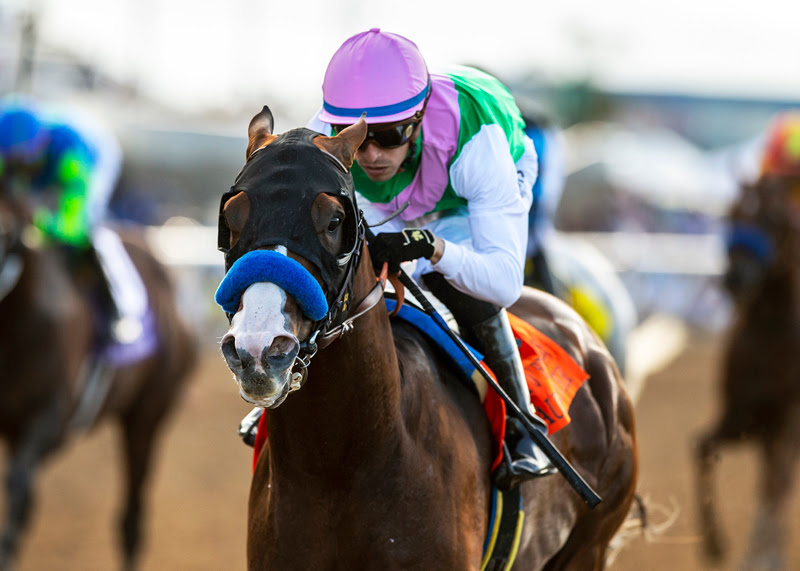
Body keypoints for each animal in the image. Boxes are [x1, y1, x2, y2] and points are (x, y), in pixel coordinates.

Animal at [217, 106, 638, 570]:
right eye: (231, 220)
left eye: (333, 221)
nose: (258, 351)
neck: (340, 465)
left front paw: (405, 245)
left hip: (589, 545)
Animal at [695, 176, 800, 570]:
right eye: (733, 213)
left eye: (773, 217)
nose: (735, 277)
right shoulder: (745, 419)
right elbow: (701, 448)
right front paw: (714, 544)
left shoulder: (787, 422)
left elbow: (776, 485)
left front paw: (764, 555)